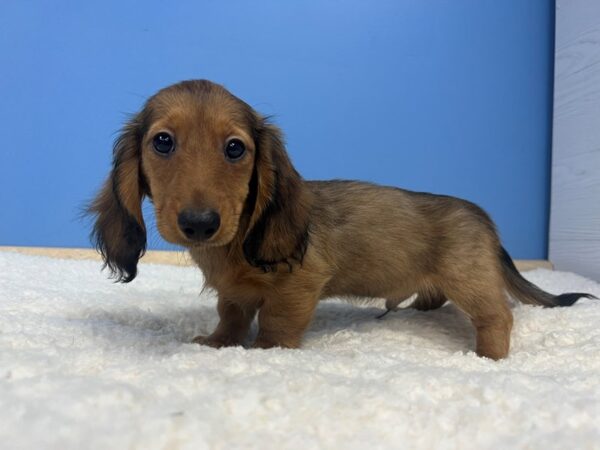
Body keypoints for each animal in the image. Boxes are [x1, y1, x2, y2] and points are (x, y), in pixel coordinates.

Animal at [89, 81, 596, 360]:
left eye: (235, 148)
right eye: (163, 141)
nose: (199, 223)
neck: (234, 244)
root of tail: (482, 217)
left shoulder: (299, 285)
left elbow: (276, 324)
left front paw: (263, 354)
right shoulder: (232, 295)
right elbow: (230, 317)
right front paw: (219, 344)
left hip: (470, 279)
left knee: (498, 317)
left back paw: (486, 357)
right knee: (434, 300)